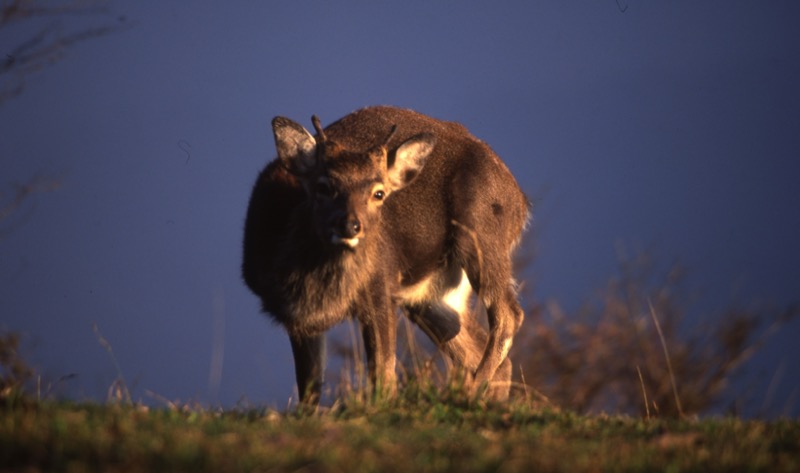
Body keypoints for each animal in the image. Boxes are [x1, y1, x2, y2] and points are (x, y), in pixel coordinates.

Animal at [244, 105, 532, 404]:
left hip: (481, 231)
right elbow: (309, 389)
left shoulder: (380, 286)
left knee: (508, 314)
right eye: (323, 186)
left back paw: (470, 393)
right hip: (432, 296)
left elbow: (383, 373)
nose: (350, 225)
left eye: (379, 193)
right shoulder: (298, 318)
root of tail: (520, 201)